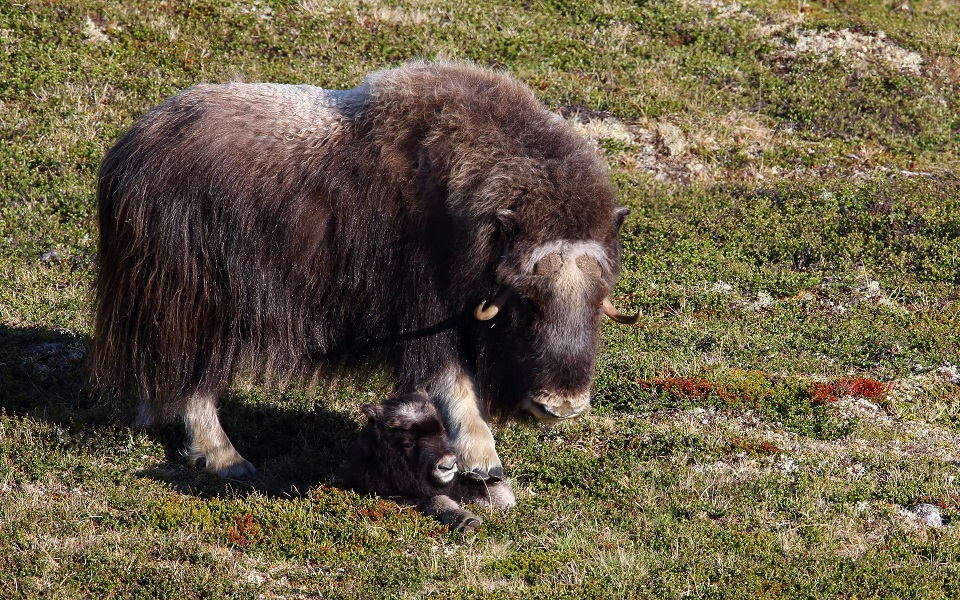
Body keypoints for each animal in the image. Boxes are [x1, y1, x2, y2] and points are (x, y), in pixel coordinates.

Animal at [94, 59, 640, 482]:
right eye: (527, 301)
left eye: (598, 300)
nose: (563, 406)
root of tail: (130, 151)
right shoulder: (424, 309)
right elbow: (455, 381)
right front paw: (483, 461)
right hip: (194, 303)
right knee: (193, 382)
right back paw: (228, 458)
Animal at [344, 394, 512, 528]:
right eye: (408, 443)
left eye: (443, 429)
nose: (448, 465)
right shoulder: (405, 495)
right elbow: (436, 499)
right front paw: (467, 521)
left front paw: (506, 498)